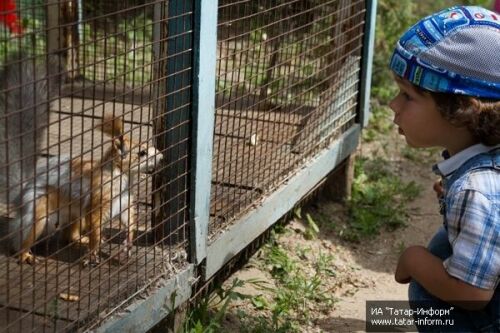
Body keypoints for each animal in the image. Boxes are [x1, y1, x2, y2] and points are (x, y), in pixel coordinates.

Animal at [11, 114, 164, 264]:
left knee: (69, 236)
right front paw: (92, 253)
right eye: (142, 152)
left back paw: (82, 239)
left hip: (77, 216)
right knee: (24, 239)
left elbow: (129, 220)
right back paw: (26, 255)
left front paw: (129, 241)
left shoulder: (124, 200)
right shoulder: (99, 199)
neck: (122, 176)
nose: (161, 156)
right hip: (39, 210)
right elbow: (95, 227)